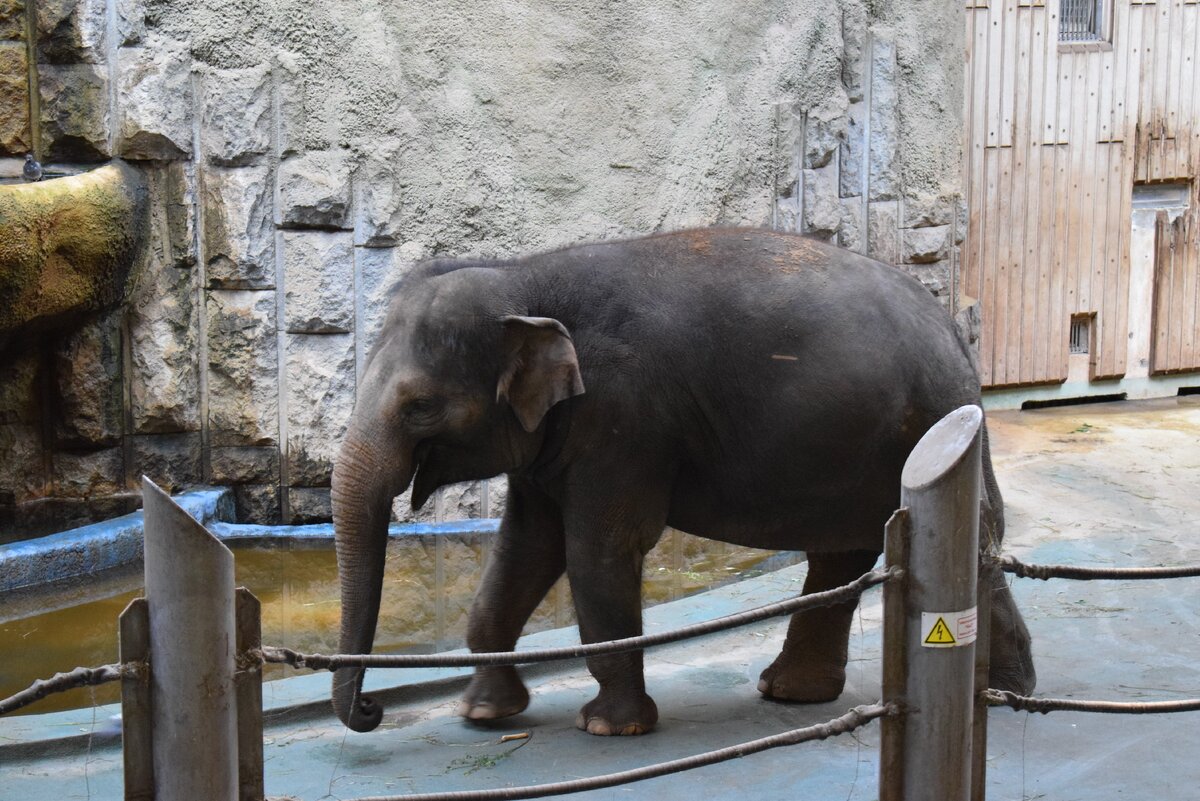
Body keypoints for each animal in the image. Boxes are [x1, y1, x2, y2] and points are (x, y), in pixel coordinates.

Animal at [328, 226, 1032, 738]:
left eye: (420, 406)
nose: (371, 712)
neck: (523, 277)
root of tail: (954, 328)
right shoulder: (552, 439)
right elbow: (525, 548)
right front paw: (483, 714)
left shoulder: (625, 418)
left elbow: (597, 550)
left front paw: (609, 728)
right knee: (842, 556)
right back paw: (791, 693)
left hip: (932, 419)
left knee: (970, 543)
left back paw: (1003, 693)